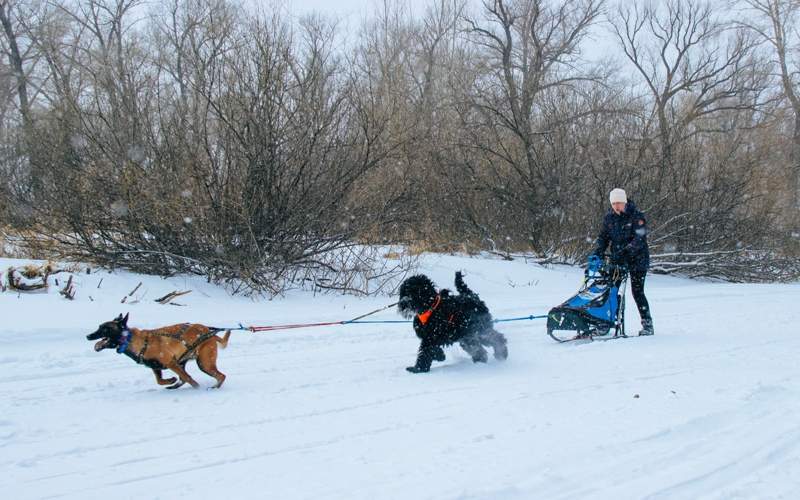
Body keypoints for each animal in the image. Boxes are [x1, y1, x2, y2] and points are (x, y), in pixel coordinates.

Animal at [88, 312, 231, 390]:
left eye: (105, 328)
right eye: (99, 327)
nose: (88, 336)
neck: (130, 340)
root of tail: (209, 332)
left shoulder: (171, 363)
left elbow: (189, 379)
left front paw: (196, 388)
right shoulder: (156, 367)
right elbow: (160, 380)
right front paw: (170, 381)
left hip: (204, 363)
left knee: (221, 376)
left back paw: (214, 387)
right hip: (185, 361)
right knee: (183, 379)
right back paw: (173, 386)